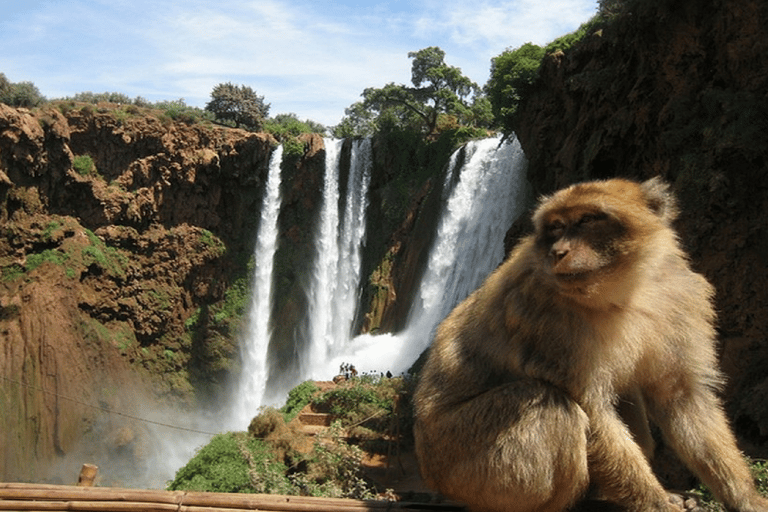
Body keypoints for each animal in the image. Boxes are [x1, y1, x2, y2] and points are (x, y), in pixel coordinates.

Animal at [414, 179, 768, 512]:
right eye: (557, 226)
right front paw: (655, 503)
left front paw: (745, 498)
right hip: (463, 463)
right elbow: (593, 410)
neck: (622, 291)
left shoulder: (680, 298)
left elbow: (682, 397)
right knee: (548, 403)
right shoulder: (547, 320)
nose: (558, 251)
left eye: (587, 220)